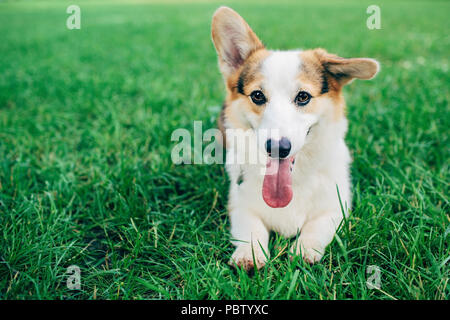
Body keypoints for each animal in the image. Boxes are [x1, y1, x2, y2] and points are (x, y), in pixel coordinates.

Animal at [211, 6, 380, 268]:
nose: (277, 148)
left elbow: (317, 226)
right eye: (257, 95)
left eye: (303, 97)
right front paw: (250, 253)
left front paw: (303, 250)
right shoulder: (239, 205)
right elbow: (251, 227)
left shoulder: (336, 207)